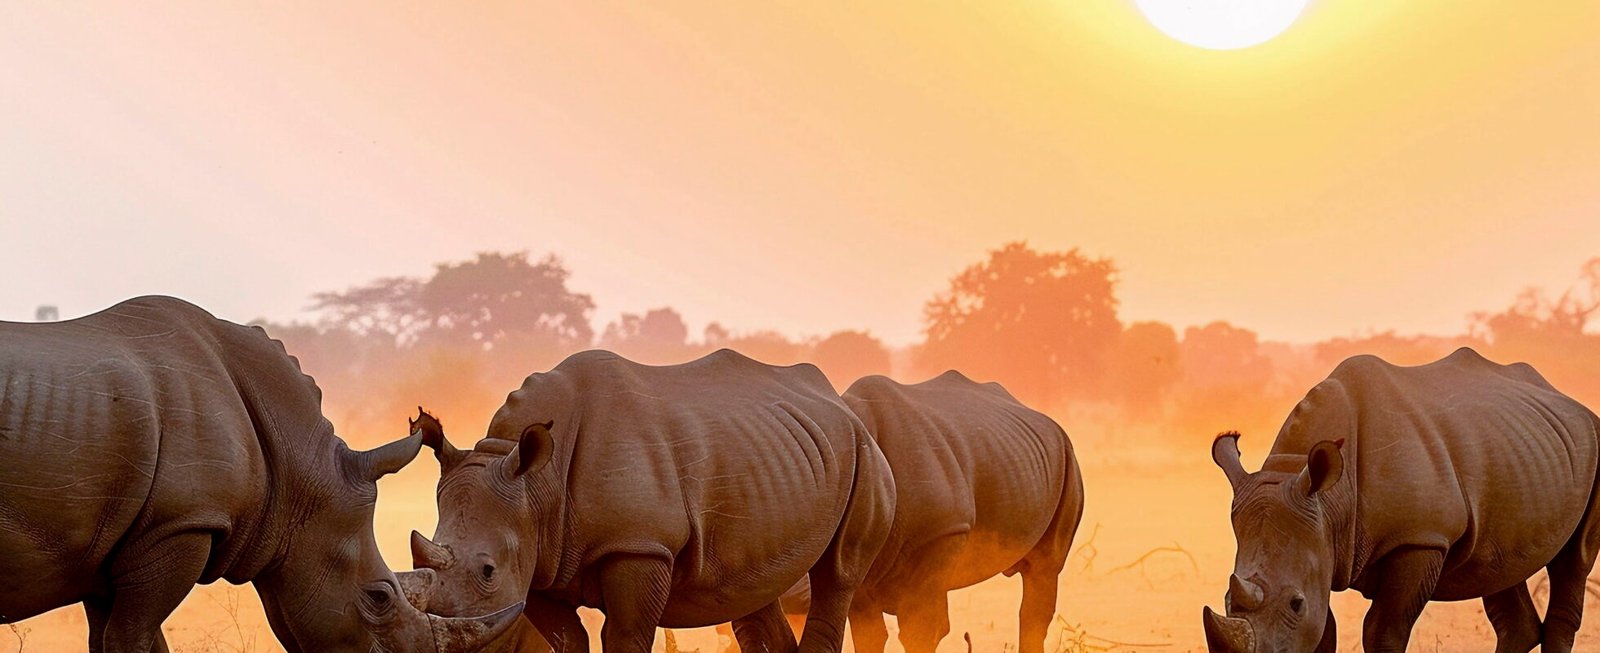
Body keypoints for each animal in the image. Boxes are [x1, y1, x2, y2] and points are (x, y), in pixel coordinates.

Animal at [0, 296, 523, 653]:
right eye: (379, 598)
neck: (299, 477)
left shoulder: (114, 548)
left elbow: (121, 636)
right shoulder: (179, 524)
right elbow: (133, 637)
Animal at [405, 349, 896, 653]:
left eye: (488, 571)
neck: (537, 483)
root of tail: (836, 398)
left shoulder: (640, 545)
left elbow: (624, 634)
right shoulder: (540, 559)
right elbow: (566, 638)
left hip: (866, 453)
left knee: (839, 574)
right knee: (755, 590)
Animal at [1204, 348, 1600, 653]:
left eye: (1295, 604)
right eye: (1226, 599)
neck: (1331, 499)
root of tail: (1570, 401)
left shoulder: (1419, 538)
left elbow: (1382, 630)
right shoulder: (1319, 543)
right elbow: (1323, 632)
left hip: (1592, 441)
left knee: (1573, 561)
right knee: (1499, 569)